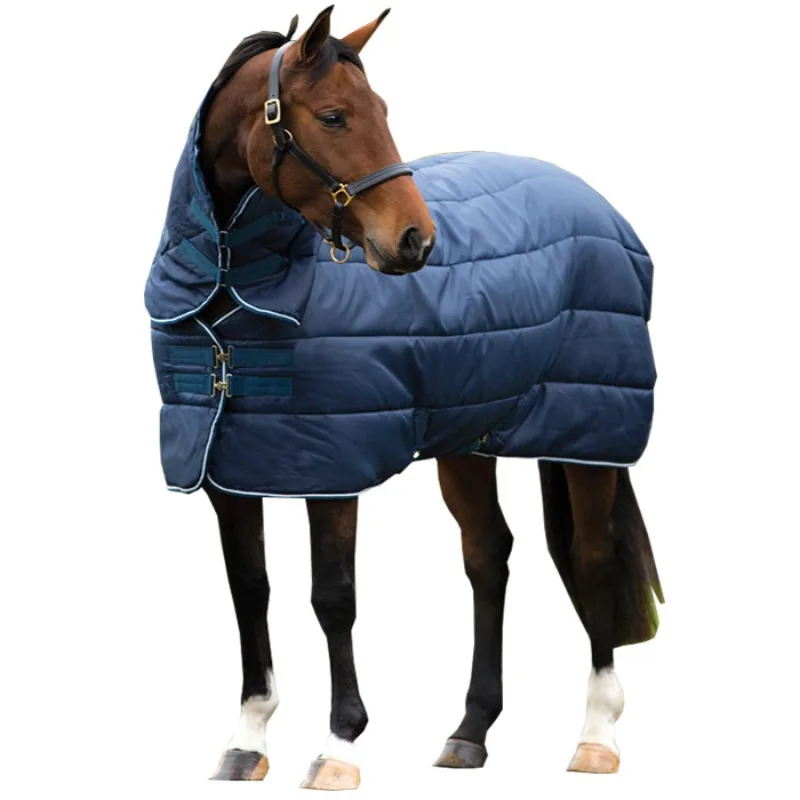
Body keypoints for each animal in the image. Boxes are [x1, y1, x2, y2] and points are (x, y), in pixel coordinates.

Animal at [145, 6, 663, 787]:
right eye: (333, 116)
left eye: (383, 112)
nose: (416, 240)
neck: (240, 291)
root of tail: (599, 207)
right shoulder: (228, 469)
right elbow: (250, 589)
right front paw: (247, 742)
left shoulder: (333, 467)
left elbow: (333, 598)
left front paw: (339, 746)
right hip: (469, 440)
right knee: (488, 555)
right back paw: (470, 732)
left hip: (590, 433)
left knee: (594, 556)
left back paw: (596, 735)